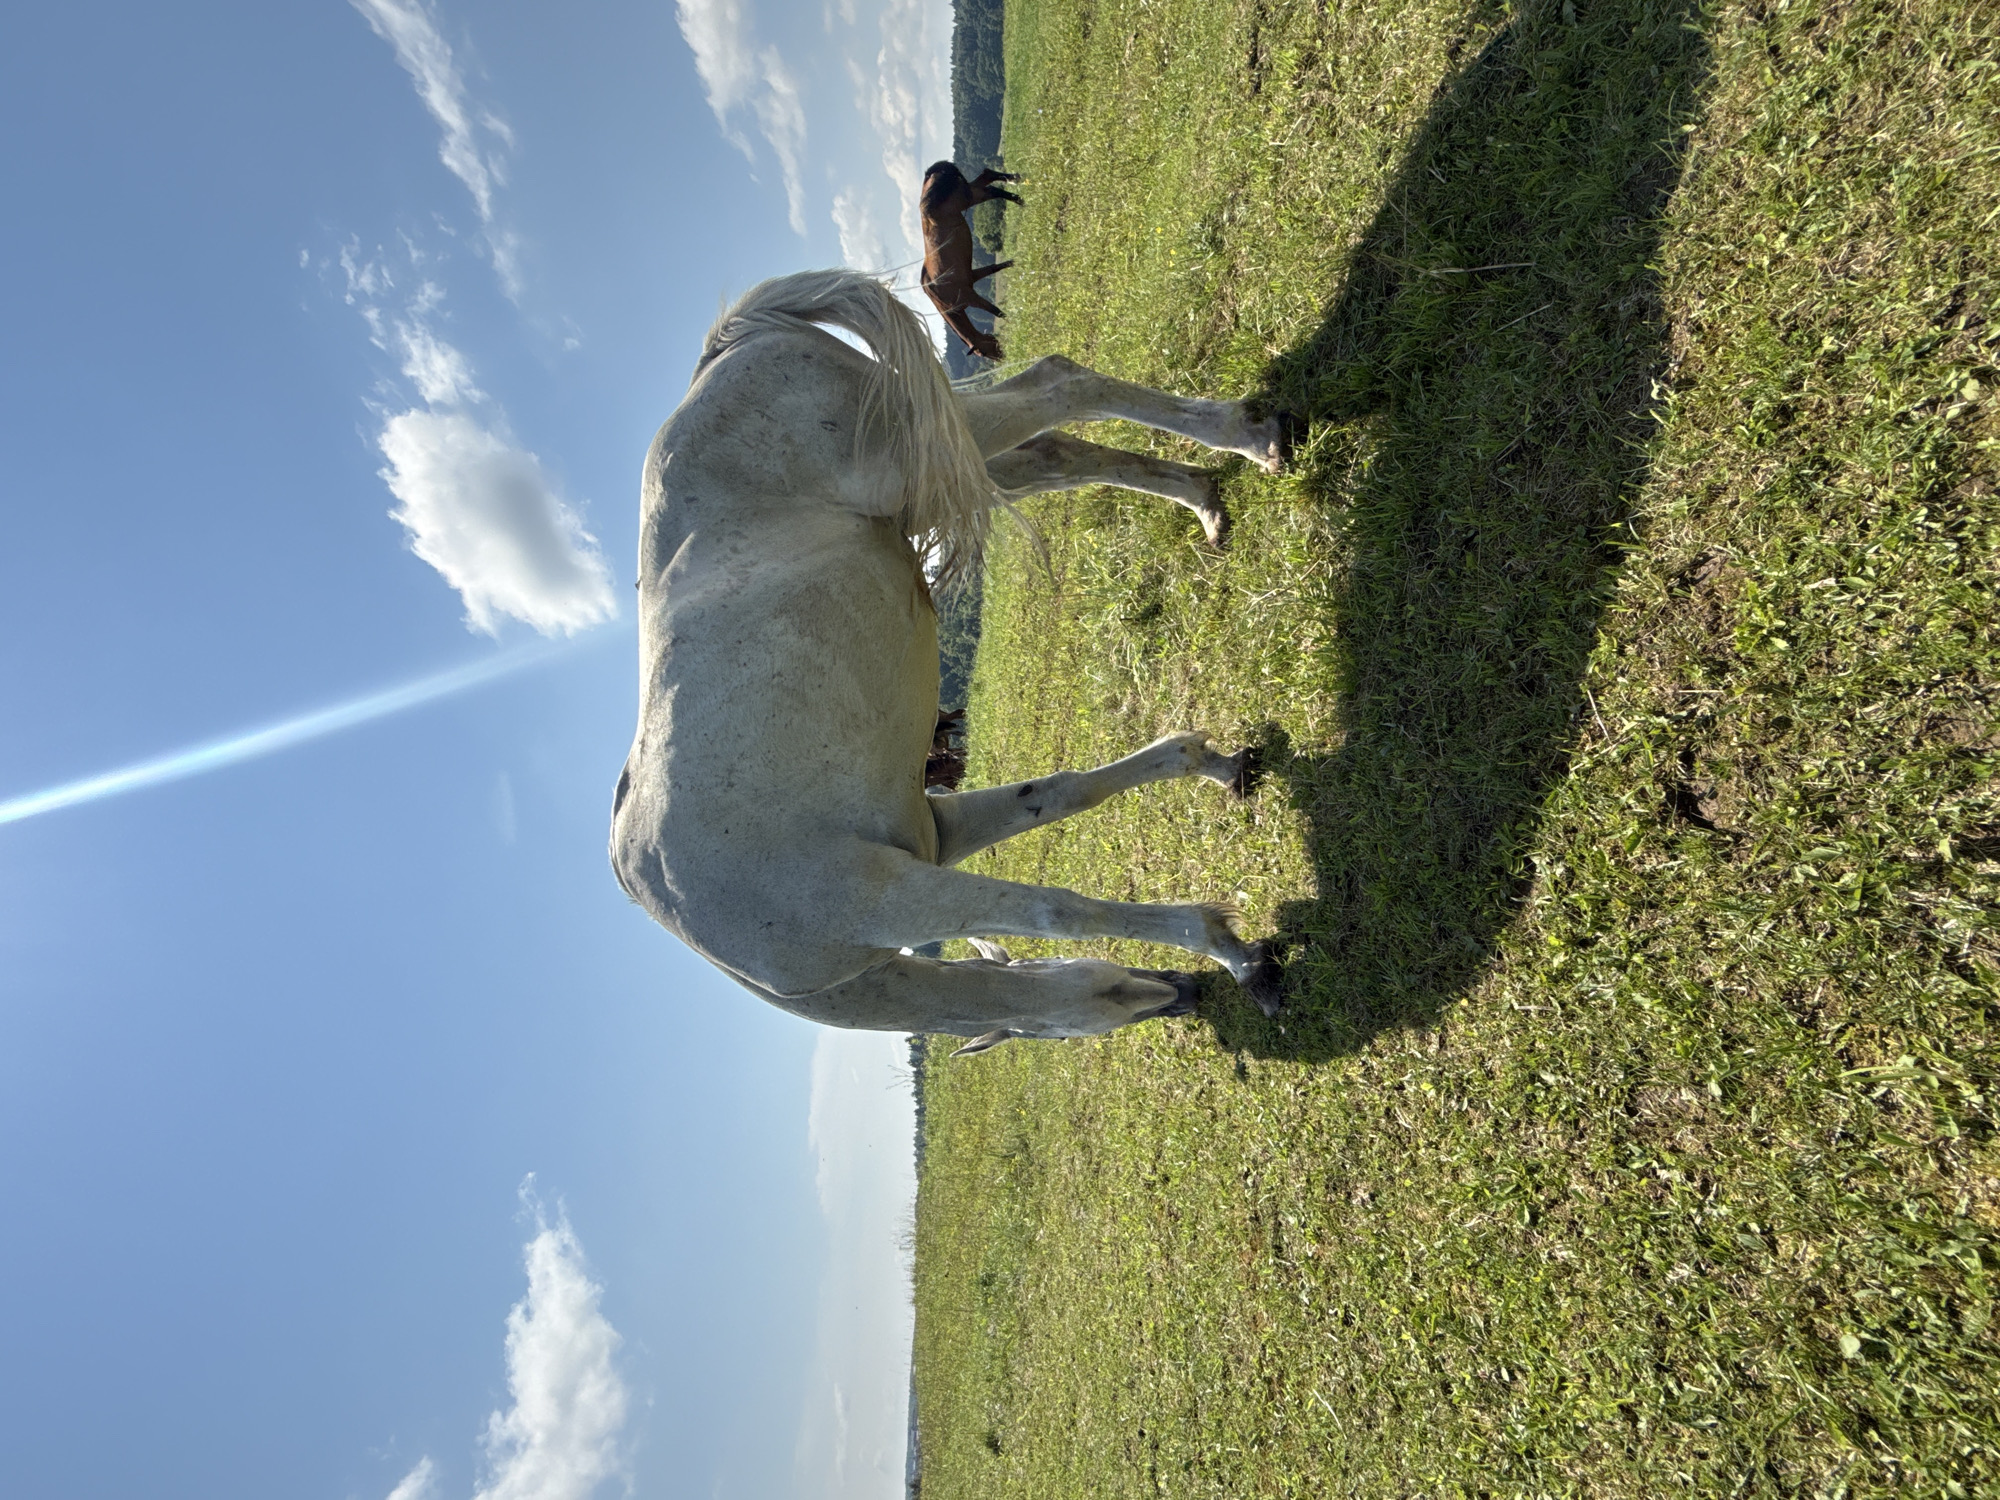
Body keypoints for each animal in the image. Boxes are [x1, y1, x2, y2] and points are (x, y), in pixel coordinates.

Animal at [611, 269, 1287, 1051]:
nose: (1178, 996)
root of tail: (717, 358)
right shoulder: (939, 838)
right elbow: (1064, 795)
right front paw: (1211, 765)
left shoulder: (897, 896)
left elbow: (1058, 912)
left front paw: (1232, 950)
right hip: (941, 455)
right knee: (1055, 451)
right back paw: (1206, 494)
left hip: (910, 453)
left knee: (1059, 386)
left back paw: (1253, 437)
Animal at [919, 161, 1020, 361]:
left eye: (984, 352)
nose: (1003, 357)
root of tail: (931, 174)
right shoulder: (973, 276)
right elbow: (995, 268)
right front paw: (1015, 262)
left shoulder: (972, 297)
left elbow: (996, 311)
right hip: (971, 195)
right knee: (987, 179)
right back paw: (1015, 186)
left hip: (967, 196)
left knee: (989, 188)